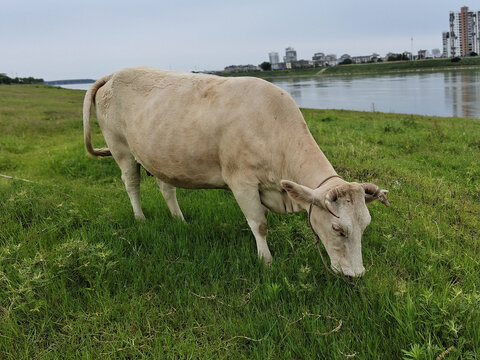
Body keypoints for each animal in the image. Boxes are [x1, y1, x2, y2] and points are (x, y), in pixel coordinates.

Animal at [83, 66, 390, 278]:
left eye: (365, 226)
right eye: (338, 229)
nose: (356, 275)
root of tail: (113, 73)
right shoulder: (241, 181)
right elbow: (259, 224)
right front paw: (266, 263)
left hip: (159, 155)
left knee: (166, 188)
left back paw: (180, 220)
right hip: (121, 148)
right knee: (131, 184)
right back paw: (140, 218)